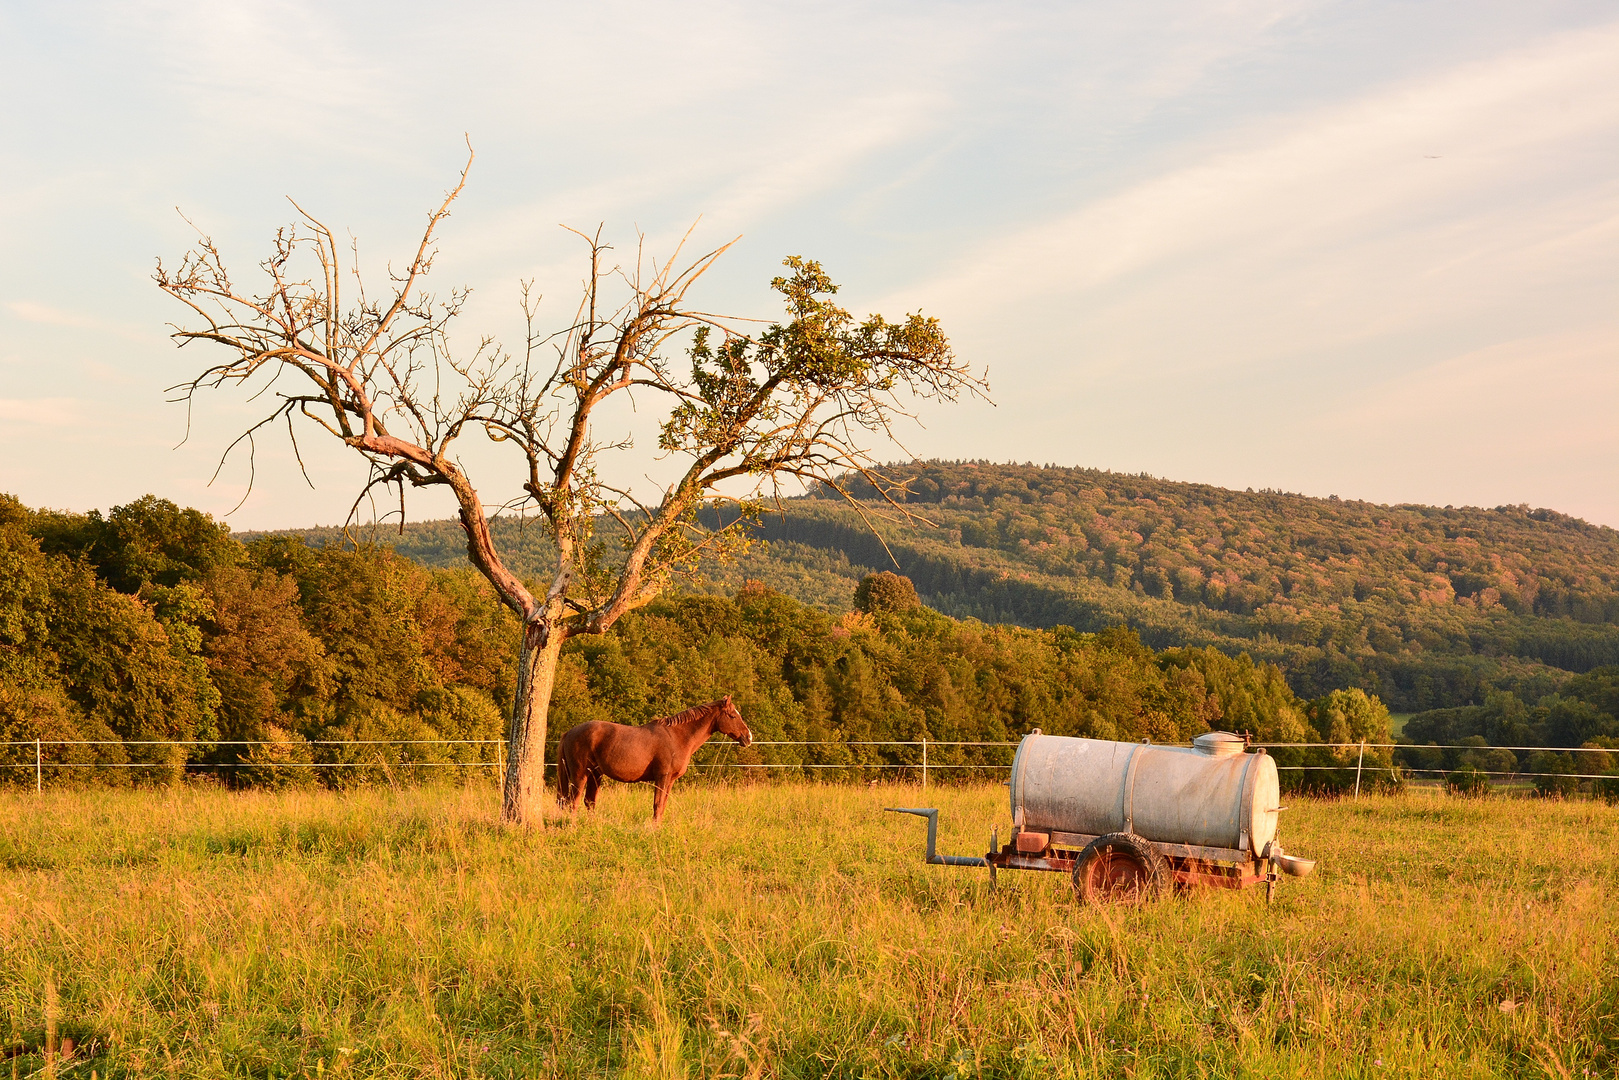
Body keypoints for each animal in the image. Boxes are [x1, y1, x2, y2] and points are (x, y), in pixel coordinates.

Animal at [556, 696, 751, 822]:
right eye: (733, 715)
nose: (748, 737)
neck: (677, 737)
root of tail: (569, 732)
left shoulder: (670, 780)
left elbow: (662, 805)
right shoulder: (662, 777)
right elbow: (657, 805)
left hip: (595, 775)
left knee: (589, 801)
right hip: (580, 775)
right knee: (572, 802)